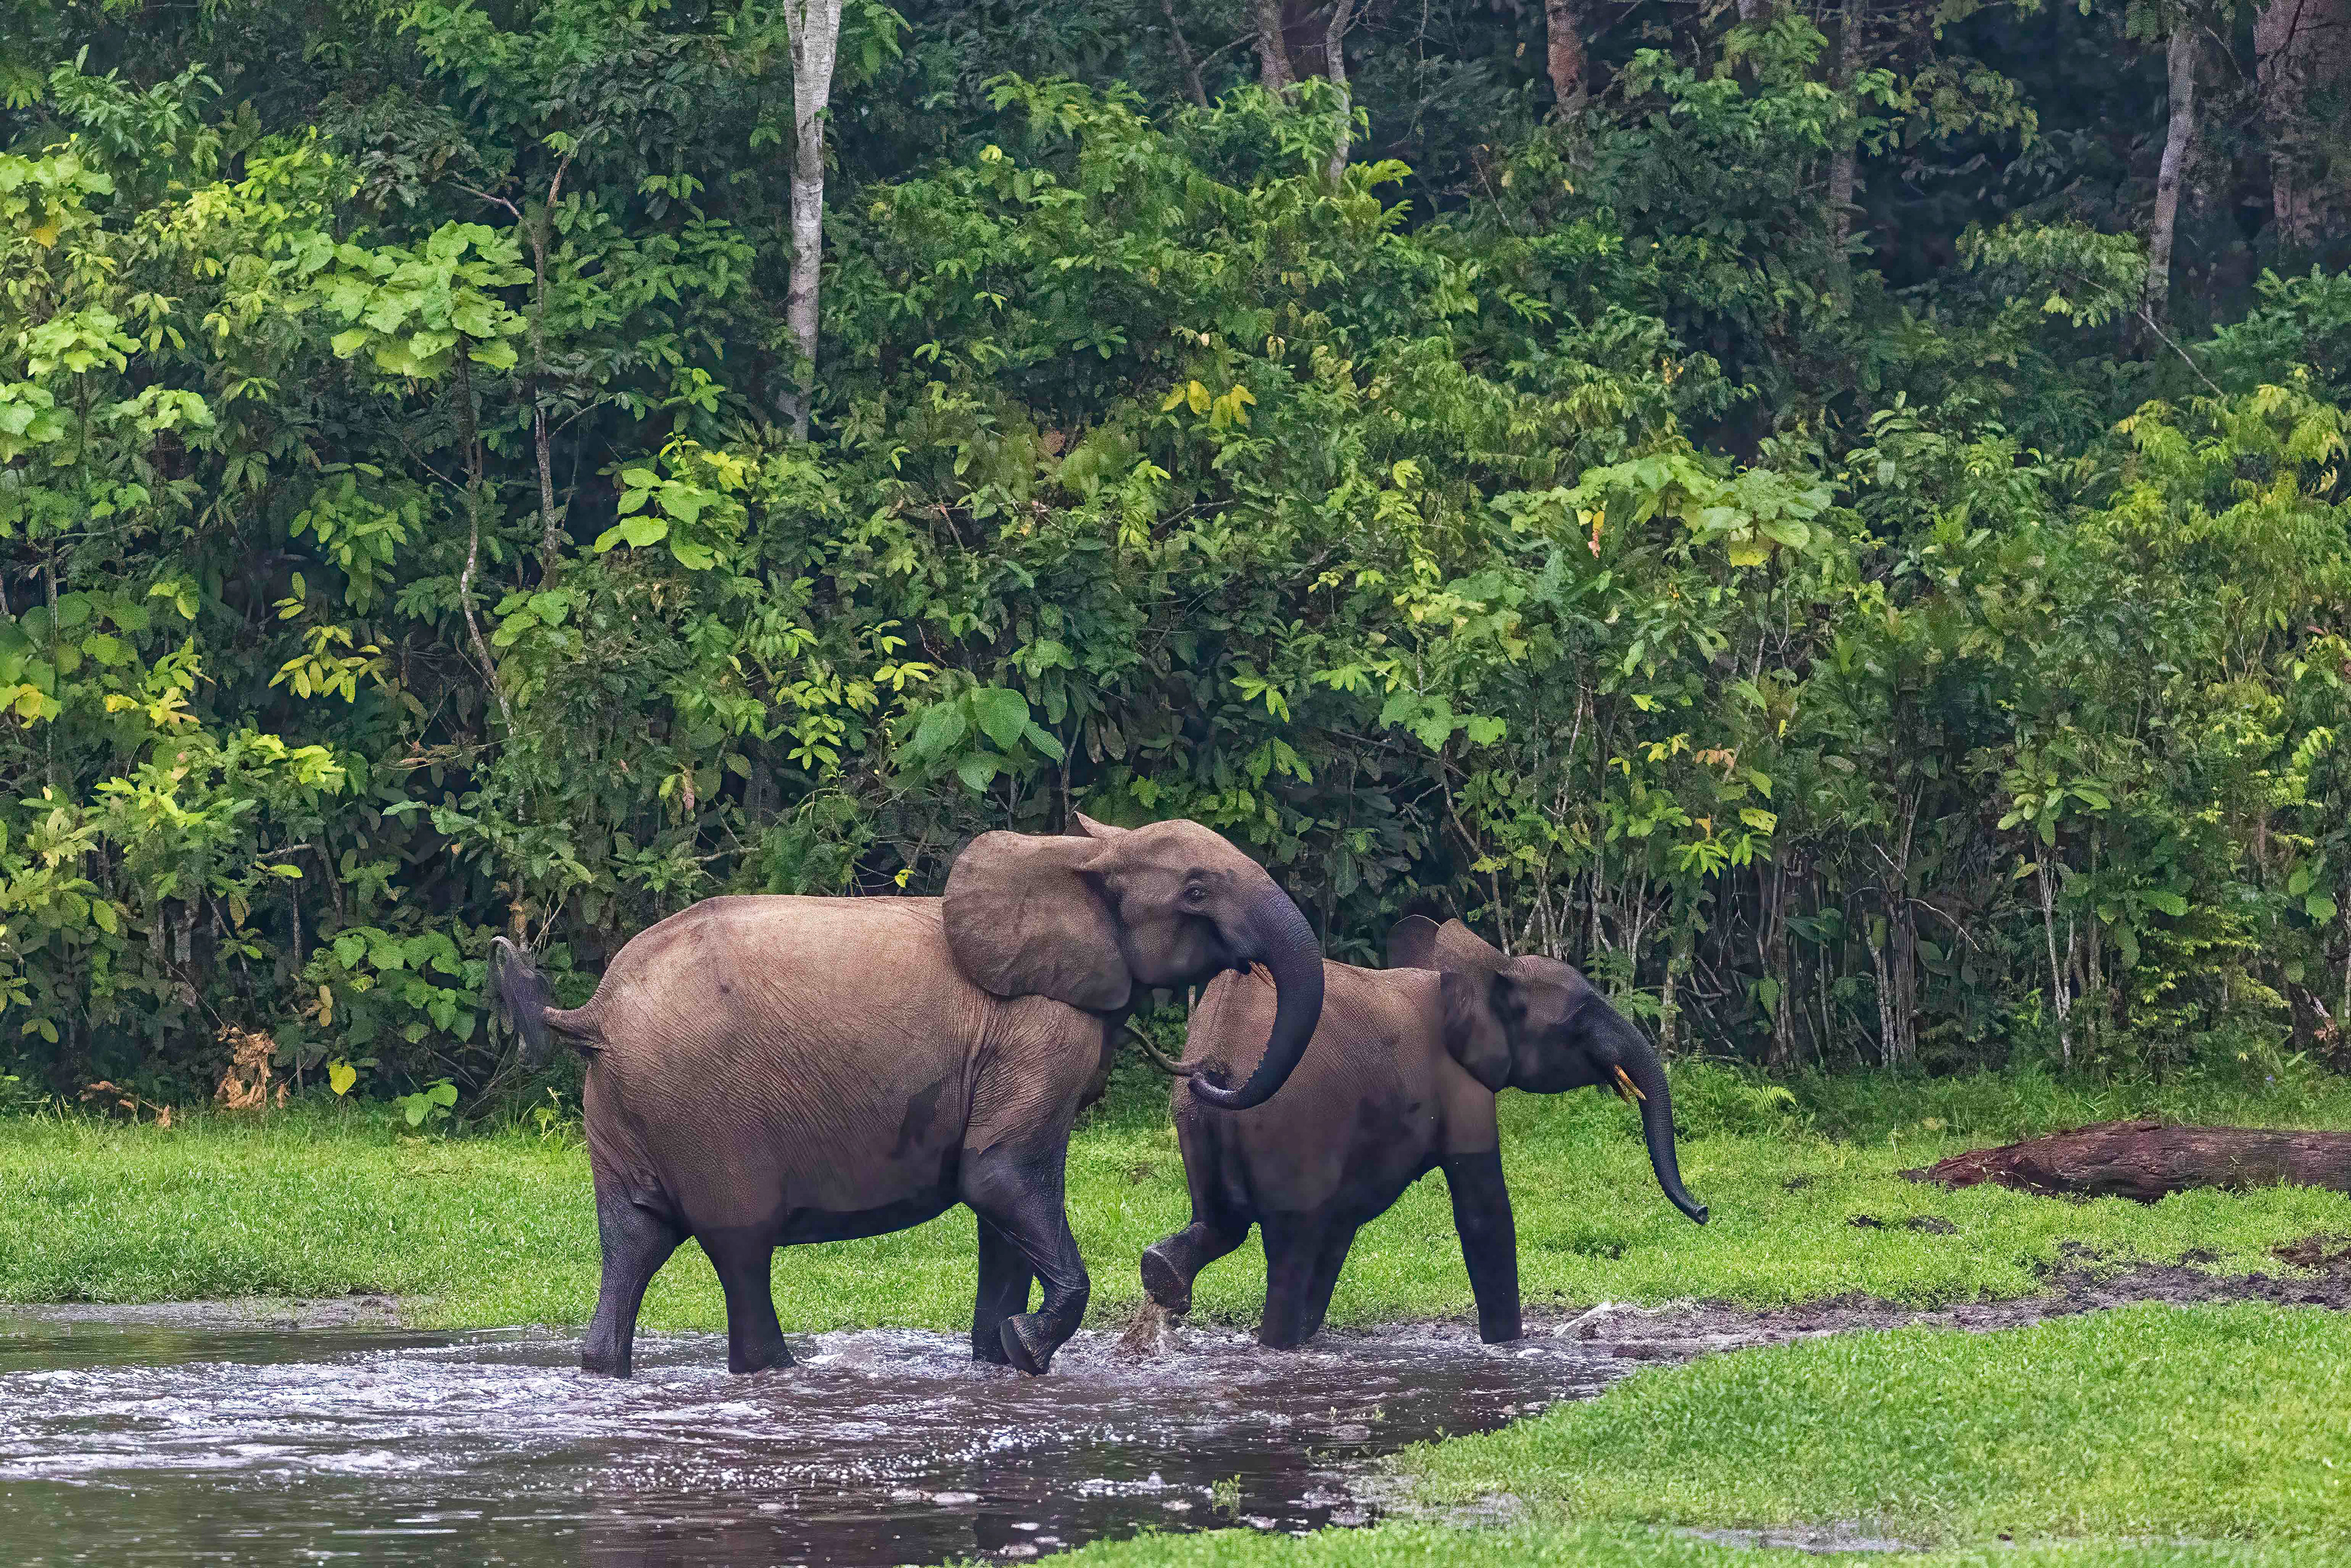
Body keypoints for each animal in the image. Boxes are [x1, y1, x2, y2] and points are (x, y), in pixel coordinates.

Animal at [485, 814, 1325, 1379]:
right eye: (1196, 889)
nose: (1212, 1069)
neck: (1078, 855)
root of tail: (594, 1011)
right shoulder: (1037, 1032)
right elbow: (999, 1175)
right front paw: (1028, 1347)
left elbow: (1000, 1213)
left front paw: (999, 1356)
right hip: (704, 1109)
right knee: (740, 1245)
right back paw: (776, 1372)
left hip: (627, 1103)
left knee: (633, 1239)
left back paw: (606, 1367)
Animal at [1138, 914, 1707, 1349]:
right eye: (1580, 1021)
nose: (1703, 1212)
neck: (1487, 970)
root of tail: (1219, 1056)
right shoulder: (1462, 1084)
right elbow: (1483, 1213)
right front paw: (1509, 1348)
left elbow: (1343, 1224)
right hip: (1286, 1126)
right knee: (1290, 1247)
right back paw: (1275, 1345)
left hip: (1196, 1117)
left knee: (1225, 1223)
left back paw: (1163, 1272)